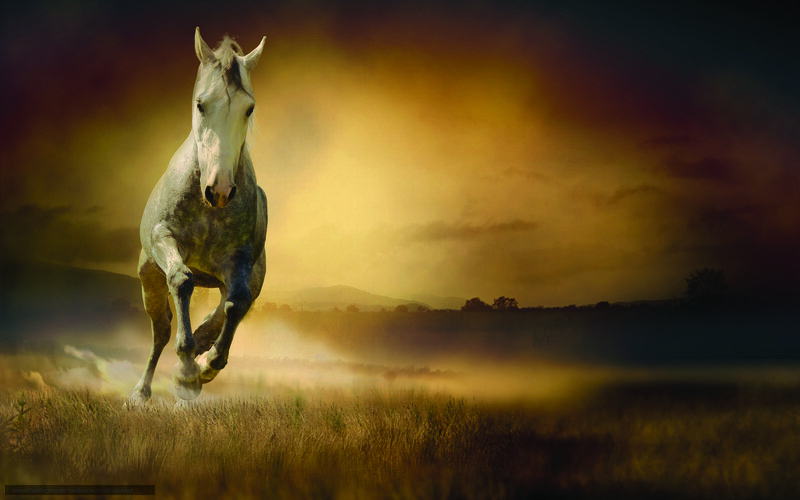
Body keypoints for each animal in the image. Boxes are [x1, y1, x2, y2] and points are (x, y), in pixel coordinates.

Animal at [129, 28, 268, 404]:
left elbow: (238, 301)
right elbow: (182, 280)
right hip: (149, 279)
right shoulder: (165, 239)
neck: (209, 210)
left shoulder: (239, 260)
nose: (218, 189)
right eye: (201, 104)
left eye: (249, 108)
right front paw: (187, 371)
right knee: (161, 331)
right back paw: (141, 393)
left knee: (227, 309)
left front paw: (206, 364)